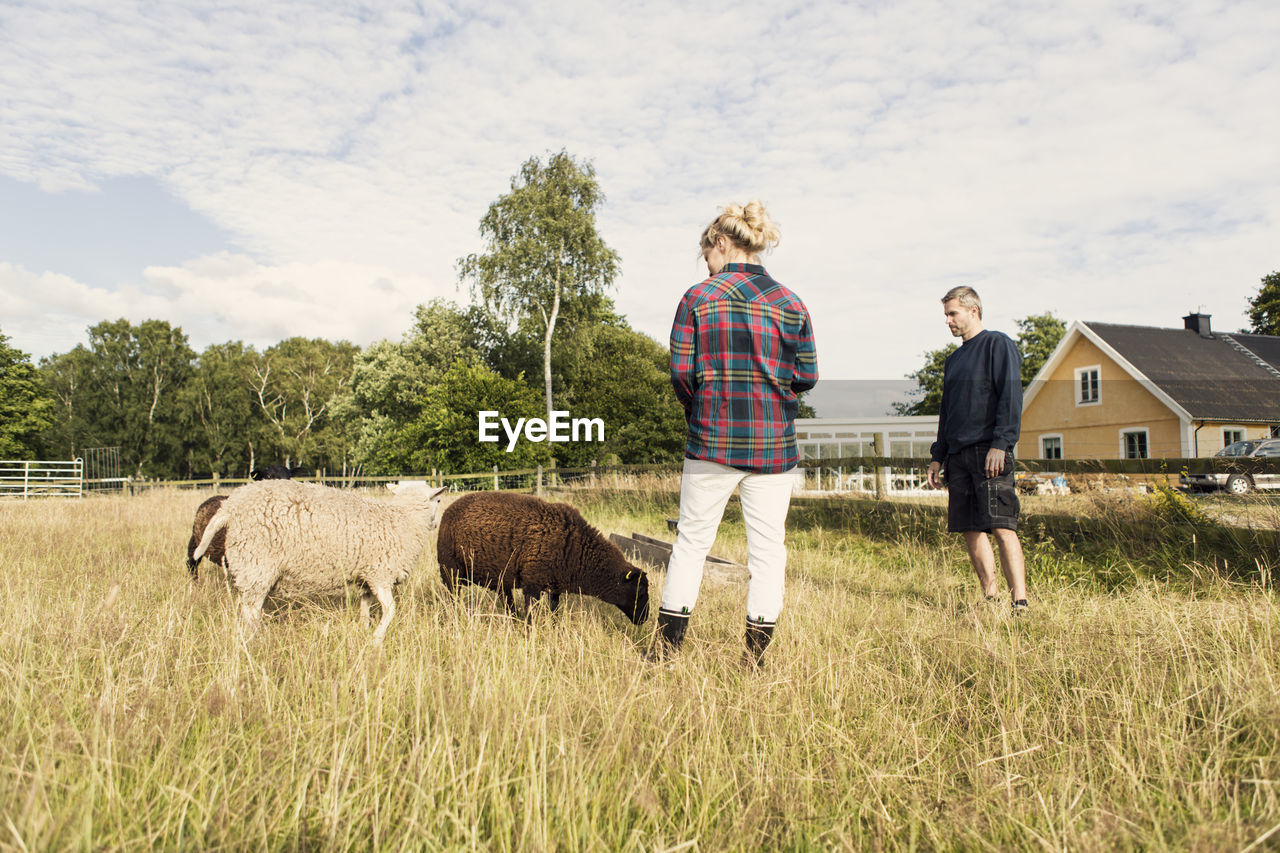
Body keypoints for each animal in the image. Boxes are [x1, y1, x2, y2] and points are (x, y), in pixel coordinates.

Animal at [189, 479, 448, 637]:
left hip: (254, 568)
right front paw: (377, 637)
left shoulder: (366, 579)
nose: (435, 524)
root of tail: (230, 506)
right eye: (438, 500)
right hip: (257, 564)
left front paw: (364, 631)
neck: (402, 519)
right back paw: (260, 637)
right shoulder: (380, 574)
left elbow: (365, 608)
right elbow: (391, 610)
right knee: (250, 611)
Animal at [437, 489, 650, 622]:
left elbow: (554, 610)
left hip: (500, 576)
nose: (645, 620)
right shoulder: (532, 584)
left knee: (507, 601)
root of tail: (448, 509)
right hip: (450, 570)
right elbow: (531, 614)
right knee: (451, 598)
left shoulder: (555, 587)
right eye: (639, 592)